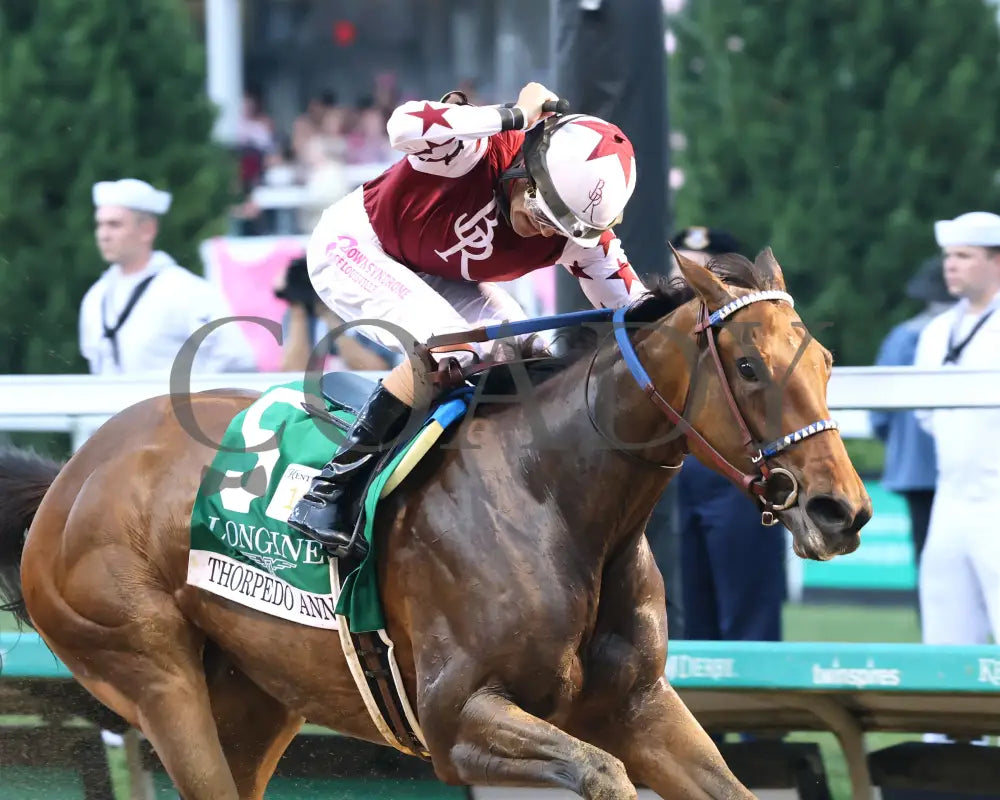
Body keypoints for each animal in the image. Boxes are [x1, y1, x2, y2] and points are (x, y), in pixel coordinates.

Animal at [0, 252, 872, 800]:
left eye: (827, 362)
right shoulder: (457, 721)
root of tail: (72, 475)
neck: (554, 496)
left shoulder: (640, 706)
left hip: (255, 696)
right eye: (750, 368)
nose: (842, 511)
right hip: (152, 671)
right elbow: (602, 775)